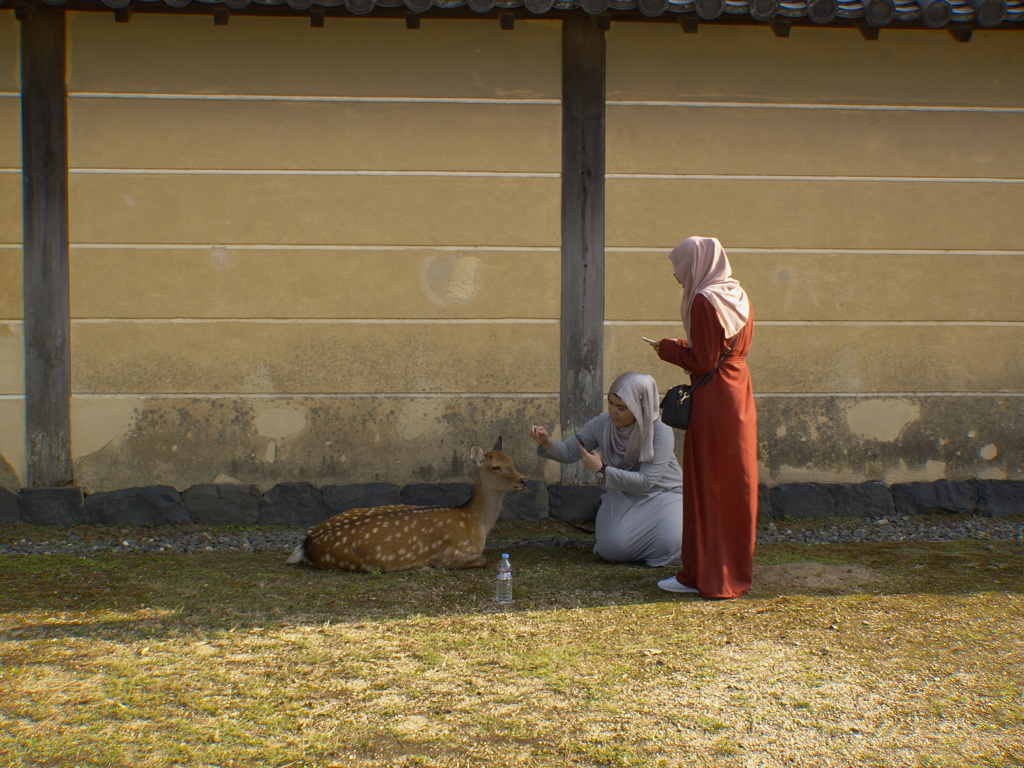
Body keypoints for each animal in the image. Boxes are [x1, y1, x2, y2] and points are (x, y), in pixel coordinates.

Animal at [286, 438, 528, 573]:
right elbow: (483, 559)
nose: (524, 480)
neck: (474, 522)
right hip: (354, 561)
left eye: (512, 461)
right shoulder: (453, 552)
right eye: (496, 467)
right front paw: (428, 566)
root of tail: (308, 543)